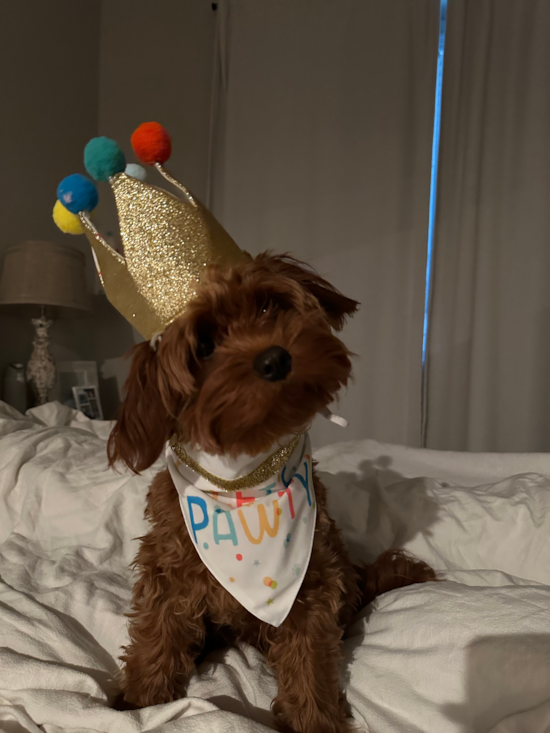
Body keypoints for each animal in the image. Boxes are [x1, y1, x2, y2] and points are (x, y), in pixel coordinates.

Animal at [109, 253, 436, 732]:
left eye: (268, 306)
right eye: (204, 345)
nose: (274, 359)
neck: (244, 481)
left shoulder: (311, 585)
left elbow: (309, 663)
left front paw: (316, 721)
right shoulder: (168, 571)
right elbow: (157, 636)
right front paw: (141, 703)